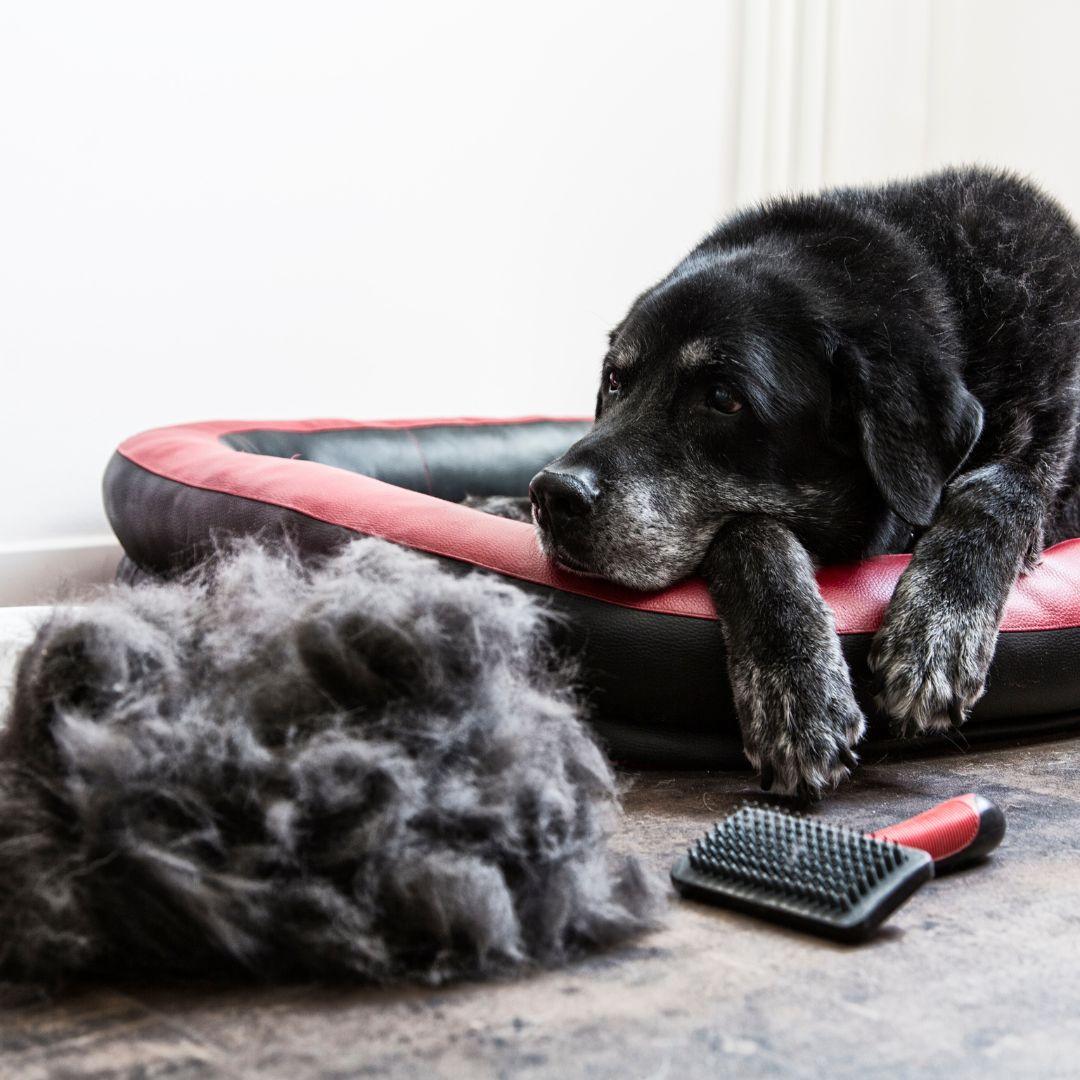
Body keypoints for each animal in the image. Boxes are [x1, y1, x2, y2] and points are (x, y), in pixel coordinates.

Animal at [527, 164, 1080, 799]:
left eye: (723, 398)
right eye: (616, 379)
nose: (552, 494)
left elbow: (995, 494)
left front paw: (938, 631)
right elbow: (750, 531)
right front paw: (795, 686)